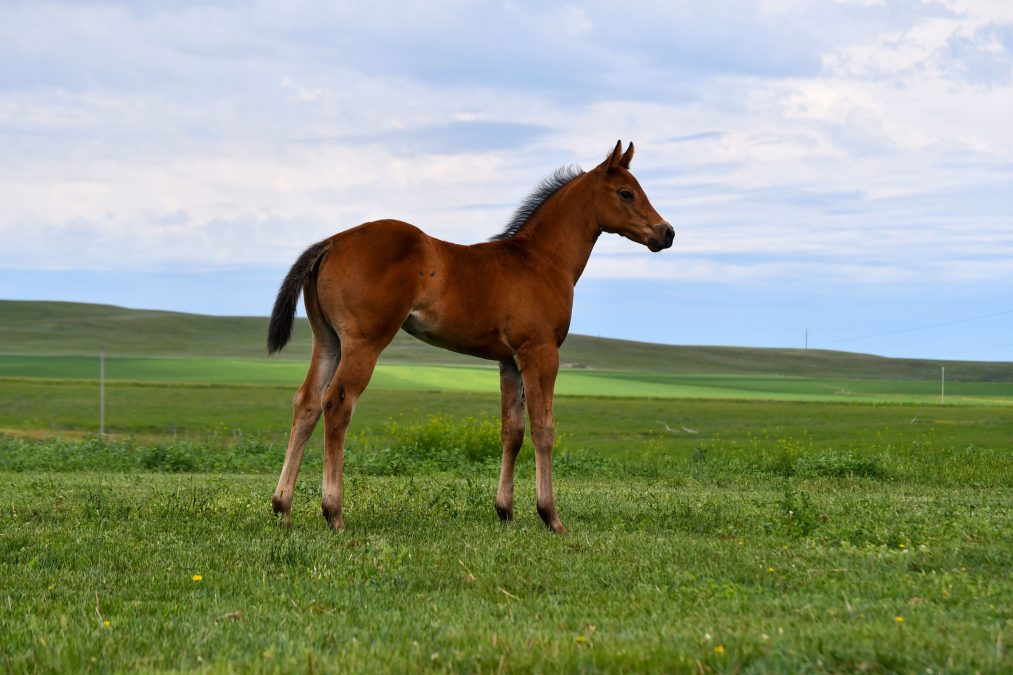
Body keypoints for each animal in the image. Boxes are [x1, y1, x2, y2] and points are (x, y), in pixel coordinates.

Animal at [267, 141, 674, 533]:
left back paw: (283, 508)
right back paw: (333, 513)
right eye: (626, 193)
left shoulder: (509, 360)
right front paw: (550, 516)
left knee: (307, 403)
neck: (541, 260)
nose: (666, 232)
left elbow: (513, 431)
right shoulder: (540, 352)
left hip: (328, 341)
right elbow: (544, 428)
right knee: (337, 403)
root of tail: (332, 242)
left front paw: (505, 512)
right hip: (364, 342)